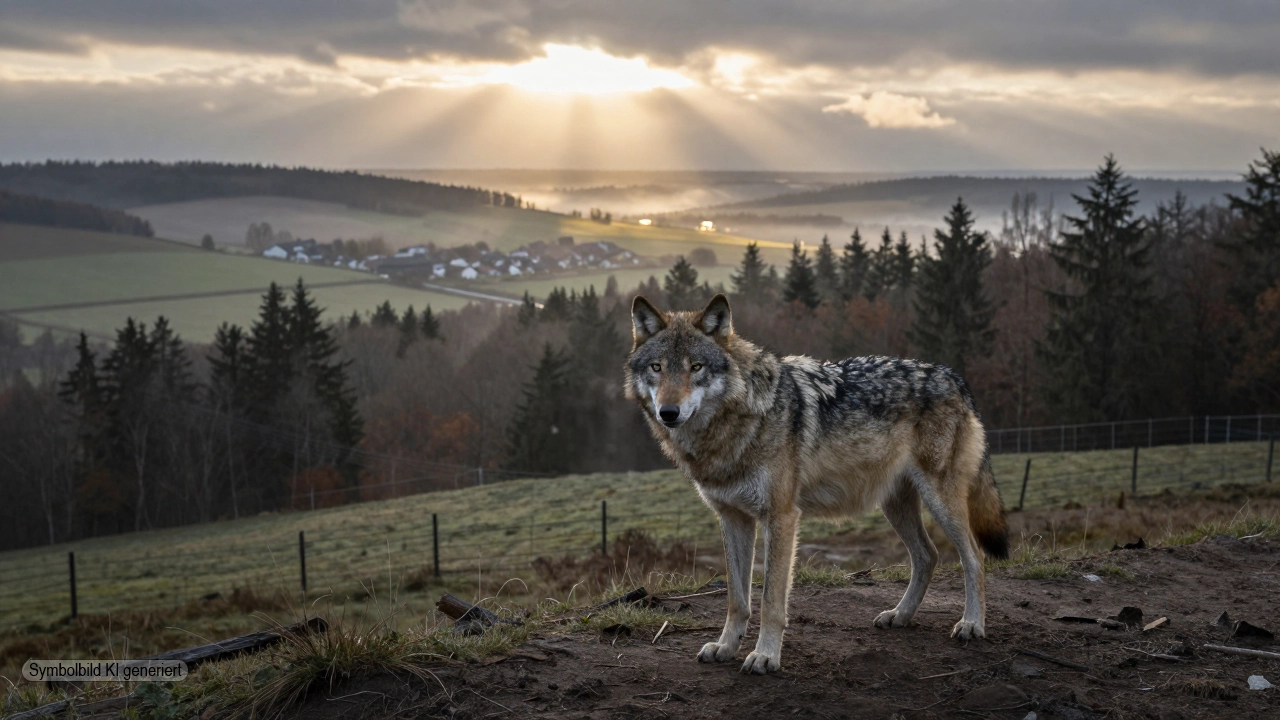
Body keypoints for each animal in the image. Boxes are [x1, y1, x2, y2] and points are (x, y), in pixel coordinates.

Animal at [624, 293, 1008, 674]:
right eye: (657, 368)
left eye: (696, 367)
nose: (668, 412)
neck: (735, 425)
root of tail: (952, 376)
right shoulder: (733, 518)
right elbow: (737, 599)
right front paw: (726, 647)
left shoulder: (781, 517)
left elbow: (770, 600)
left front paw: (765, 655)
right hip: (895, 505)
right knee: (927, 556)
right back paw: (900, 615)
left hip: (940, 500)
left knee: (973, 557)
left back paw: (972, 624)